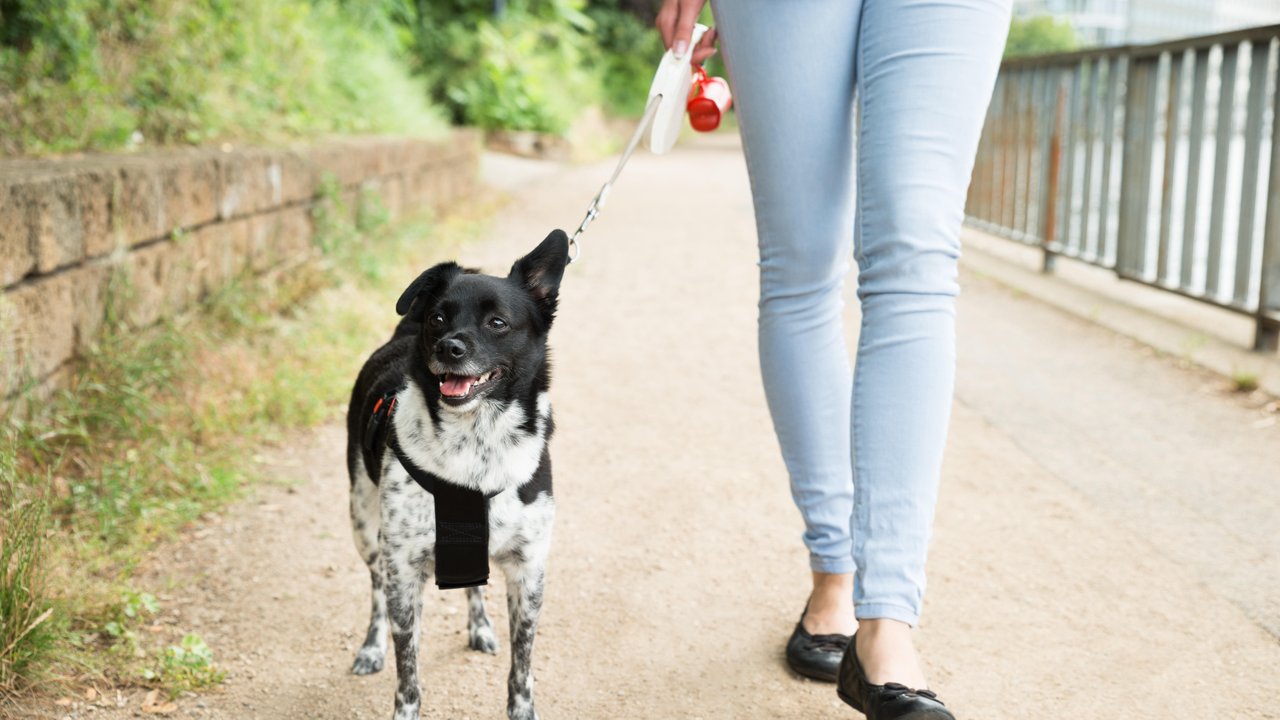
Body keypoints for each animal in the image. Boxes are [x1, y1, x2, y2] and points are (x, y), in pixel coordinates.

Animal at [350, 229, 570, 717]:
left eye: (498, 323)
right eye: (438, 317)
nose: (448, 347)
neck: (477, 442)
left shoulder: (529, 571)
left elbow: (521, 668)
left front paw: (522, 709)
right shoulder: (403, 571)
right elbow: (408, 674)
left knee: (474, 586)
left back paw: (481, 627)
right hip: (365, 526)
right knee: (374, 591)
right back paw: (371, 648)